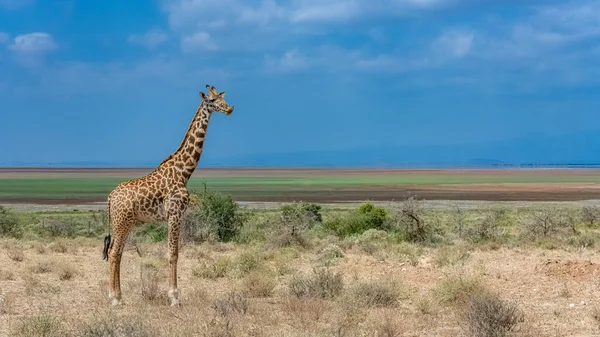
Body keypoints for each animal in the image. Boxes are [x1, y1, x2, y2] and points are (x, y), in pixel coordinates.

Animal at [103, 84, 234, 304]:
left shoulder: (175, 215)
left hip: (125, 221)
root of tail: (111, 197)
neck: (184, 171)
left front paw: (173, 295)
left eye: (222, 98)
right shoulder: (175, 213)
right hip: (122, 221)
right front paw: (174, 297)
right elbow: (173, 253)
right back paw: (114, 298)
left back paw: (118, 295)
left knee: (117, 252)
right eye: (212, 100)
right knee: (113, 252)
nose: (229, 108)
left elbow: (173, 252)